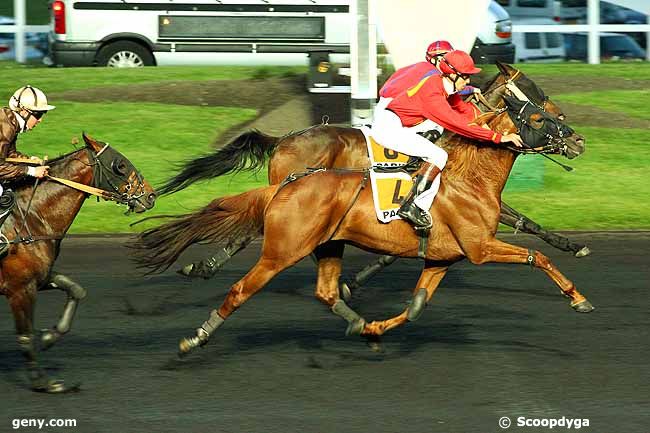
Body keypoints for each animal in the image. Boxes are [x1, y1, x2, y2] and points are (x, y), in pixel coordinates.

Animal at [1, 134, 156, 392]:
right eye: (120, 165)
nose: (151, 196)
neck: (30, 219)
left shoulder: (39, 278)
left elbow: (76, 290)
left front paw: (49, 337)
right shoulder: (20, 288)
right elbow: (25, 336)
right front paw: (43, 381)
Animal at [134, 94, 588, 354]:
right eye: (541, 117)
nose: (578, 140)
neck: (464, 177)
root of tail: (286, 177)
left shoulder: (442, 258)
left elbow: (416, 306)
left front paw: (376, 326)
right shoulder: (480, 248)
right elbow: (536, 255)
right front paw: (577, 296)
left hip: (328, 244)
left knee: (324, 290)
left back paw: (356, 321)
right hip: (283, 250)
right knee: (241, 287)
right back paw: (196, 334)